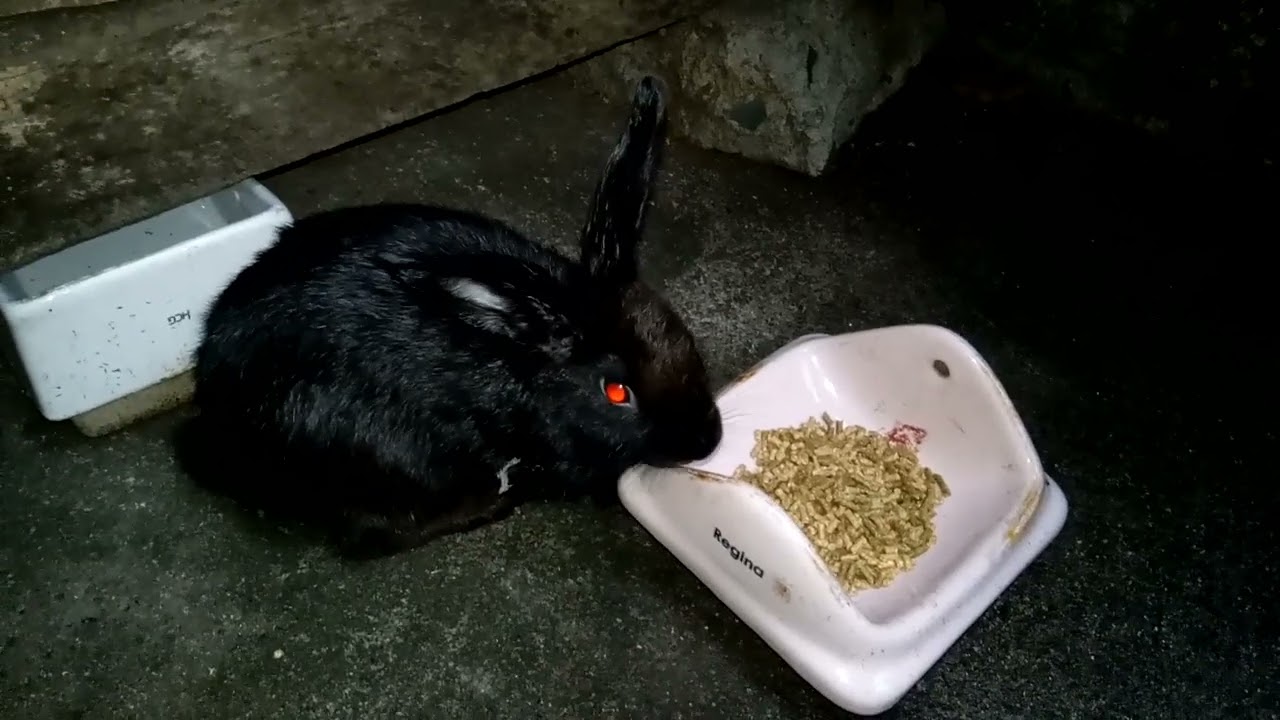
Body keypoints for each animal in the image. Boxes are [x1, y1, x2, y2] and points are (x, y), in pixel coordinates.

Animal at [177, 76, 723, 559]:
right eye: (616, 392)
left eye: (682, 338)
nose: (706, 440)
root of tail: (217, 416)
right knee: (369, 538)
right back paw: (493, 502)